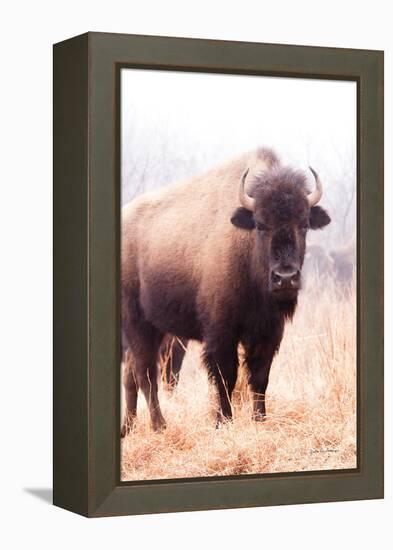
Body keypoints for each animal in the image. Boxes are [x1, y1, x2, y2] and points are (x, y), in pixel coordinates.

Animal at [121, 149, 330, 438]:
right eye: (261, 225)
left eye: (304, 224)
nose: (285, 278)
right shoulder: (221, 333)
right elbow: (225, 376)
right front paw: (224, 422)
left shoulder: (268, 332)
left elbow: (259, 377)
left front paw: (260, 420)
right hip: (137, 324)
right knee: (146, 374)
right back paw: (159, 426)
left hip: (156, 327)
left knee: (131, 374)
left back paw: (128, 428)